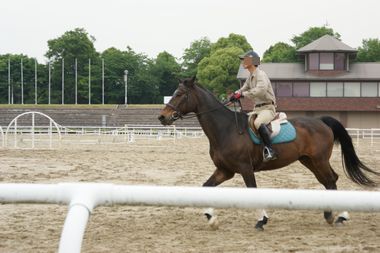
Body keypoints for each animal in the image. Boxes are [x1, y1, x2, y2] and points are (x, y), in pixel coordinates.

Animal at [157, 76, 380, 230]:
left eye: (180, 94)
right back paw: (331, 215)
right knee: (328, 181)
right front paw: (211, 219)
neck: (225, 129)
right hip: (309, 161)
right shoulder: (224, 171)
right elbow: (206, 187)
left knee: (331, 180)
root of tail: (322, 121)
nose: (162, 117)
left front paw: (261, 220)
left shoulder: (245, 169)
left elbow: (253, 191)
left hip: (318, 160)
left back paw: (340, 216)